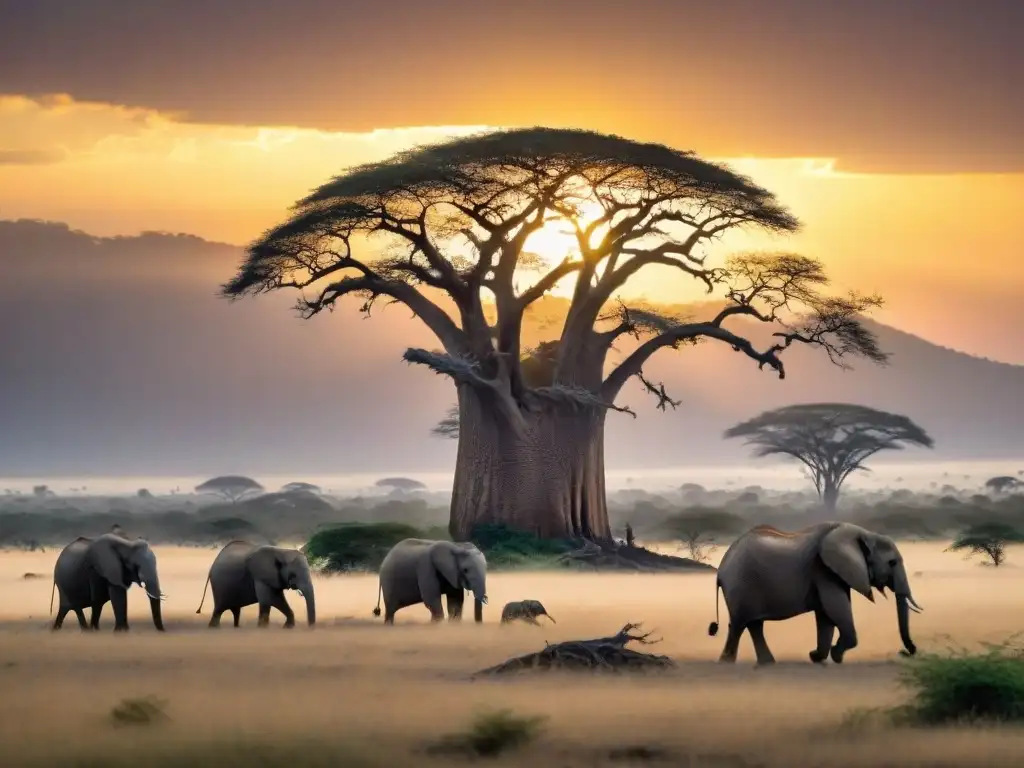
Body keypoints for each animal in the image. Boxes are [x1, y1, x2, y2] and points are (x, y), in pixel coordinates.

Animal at [708, 524, 925, 667]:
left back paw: (767, 663)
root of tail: (721, 569)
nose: (905, 652)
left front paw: (817, 657)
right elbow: (835, 608)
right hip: (740, 585)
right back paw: (727, 663)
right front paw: (835, 656)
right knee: (739, 624)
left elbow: (826, 615)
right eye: (892, 563)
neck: (863, 533)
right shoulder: (824, 570)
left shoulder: (834, 572)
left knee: (754, 625)